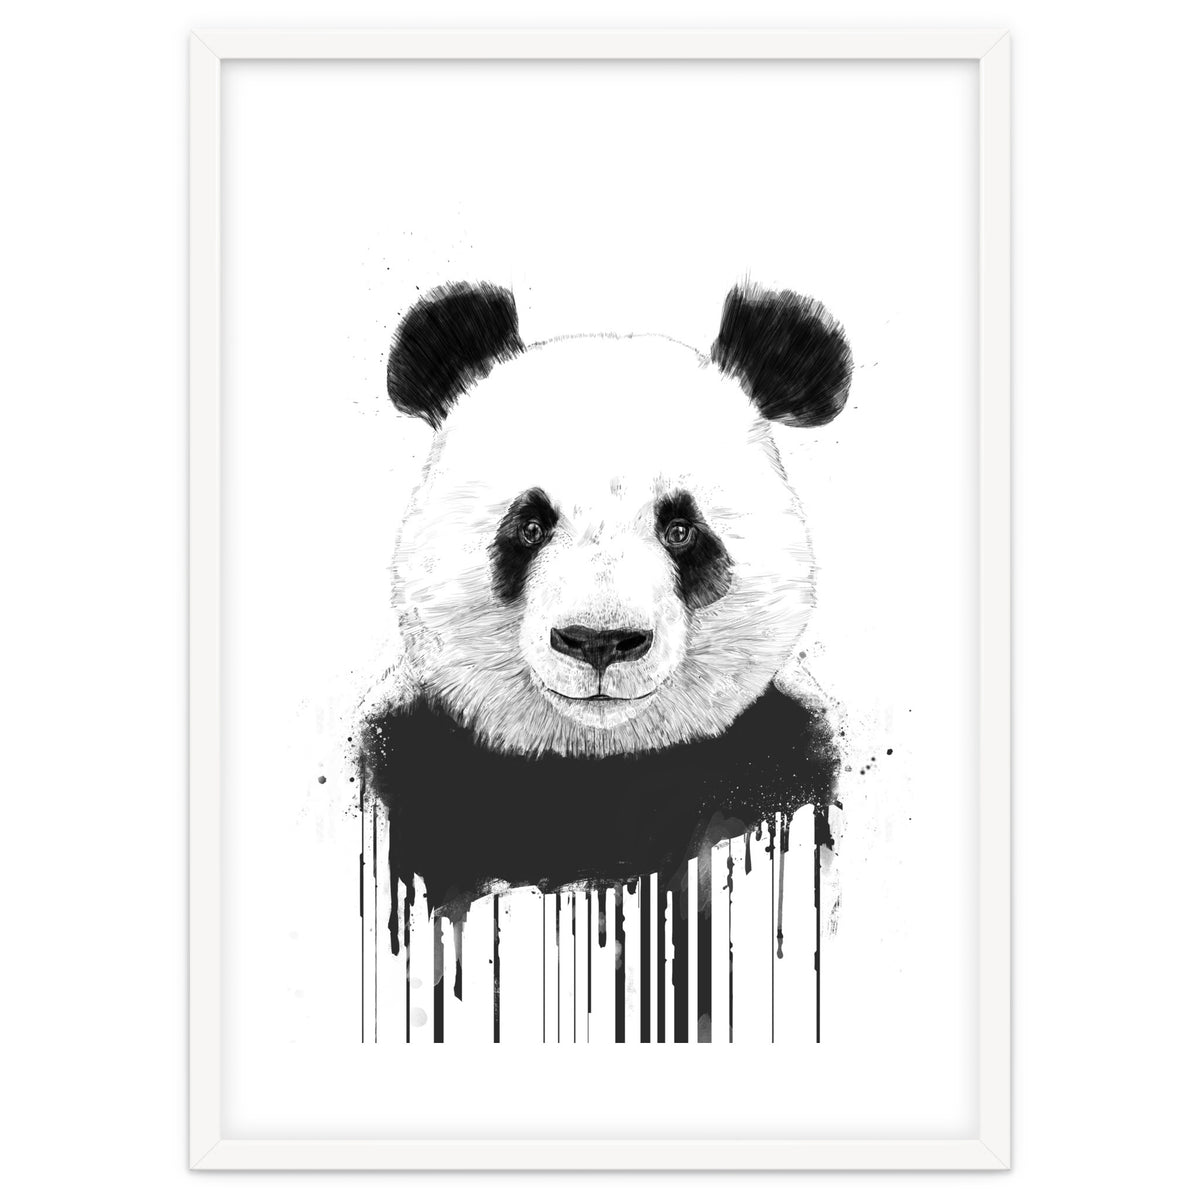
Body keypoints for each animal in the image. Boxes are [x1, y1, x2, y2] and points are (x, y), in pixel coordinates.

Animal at [361, 281, 851, 946]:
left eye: (680, 529)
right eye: (530, 526)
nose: (598, 641)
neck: (597, 766)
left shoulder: (778, 758)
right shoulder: (417, 759)